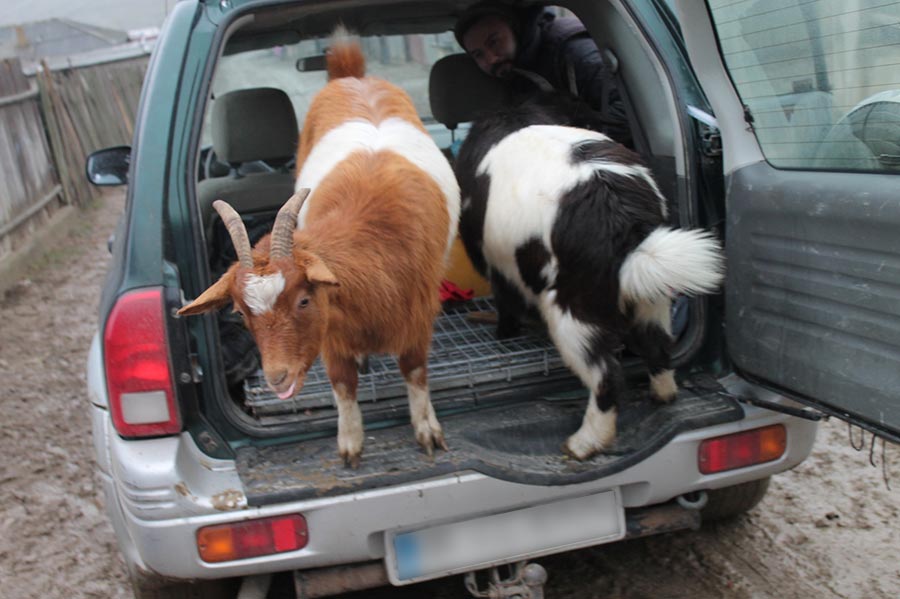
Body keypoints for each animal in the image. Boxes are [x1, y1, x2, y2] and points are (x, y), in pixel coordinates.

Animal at [178, 32, 458, 468]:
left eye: (304, 300)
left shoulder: (417, 315)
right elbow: (342, 384)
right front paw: (350, 444)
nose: (277, 376)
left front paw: (427, 431)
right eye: (240, 313)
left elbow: (415, 372)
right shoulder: (333, 331)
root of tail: (351, 75)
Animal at [458, 96, 724, 460]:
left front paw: (504, 334)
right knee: (658, 346)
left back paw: (584, 442)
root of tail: (621, 212)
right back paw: (663, 395)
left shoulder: (499, 268)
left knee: (606, 378)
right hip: (650, 297)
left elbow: (507, 307)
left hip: (573, 312)